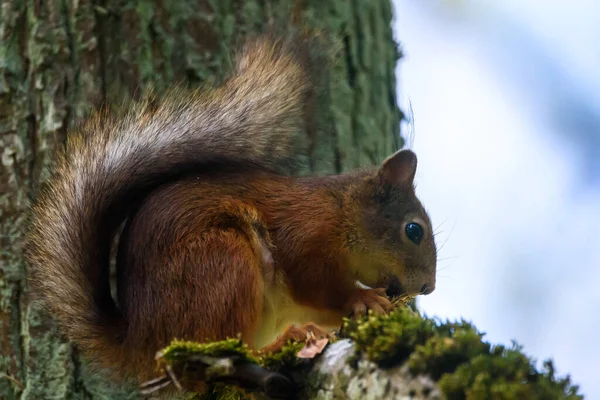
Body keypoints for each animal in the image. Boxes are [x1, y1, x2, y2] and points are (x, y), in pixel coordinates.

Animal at [24, 31, 436, 390]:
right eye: (413, 230)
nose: (428, 288)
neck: (341, 212)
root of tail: (142, 341)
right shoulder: (305, 234)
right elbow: (316, 283)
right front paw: (362, 298)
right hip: (223, 264)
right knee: (227, 348)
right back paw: (281, 342)